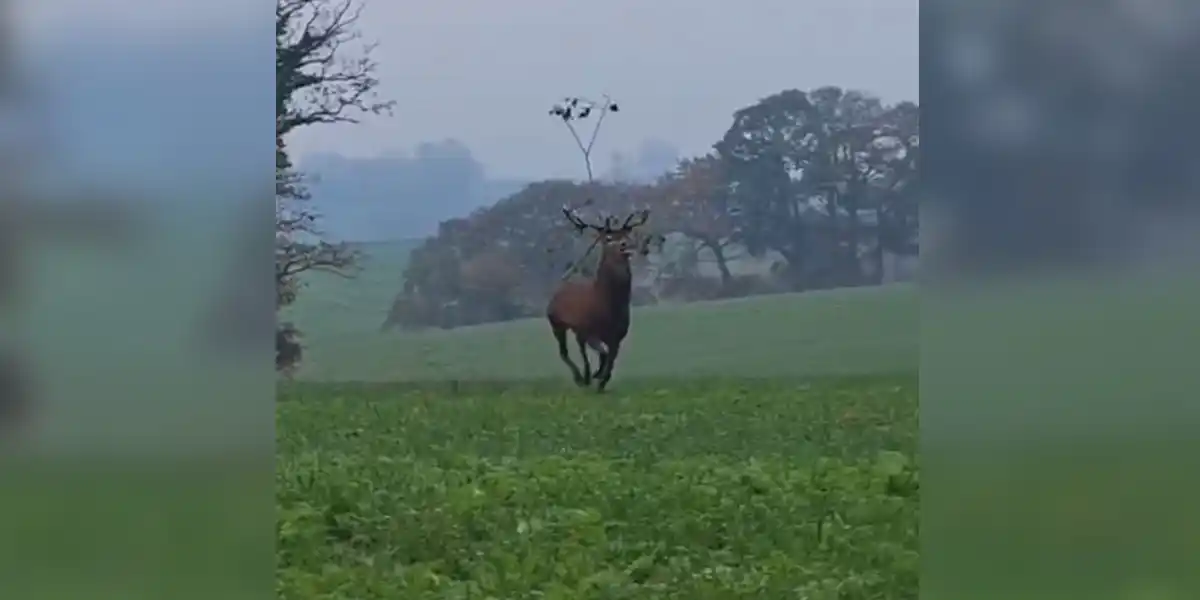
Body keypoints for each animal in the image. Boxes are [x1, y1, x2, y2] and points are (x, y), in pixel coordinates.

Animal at [546, 205, 652, 392]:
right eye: (608, 238)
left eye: (626, 235)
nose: (626, 245)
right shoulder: (588, 329)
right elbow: (604, 353)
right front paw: (597, 377)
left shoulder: (617, 335)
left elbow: (611, 360)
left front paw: (601, 381)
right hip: (556, 323)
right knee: (564, 353)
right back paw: (581, 378)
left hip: (576, 330)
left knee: (580, 349)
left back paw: (589, 376)